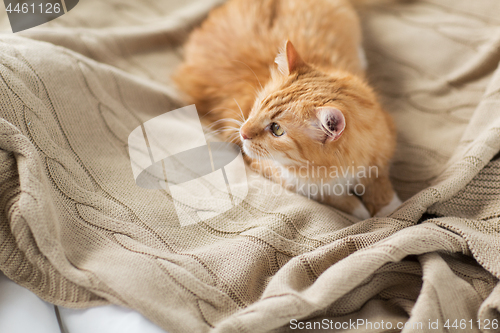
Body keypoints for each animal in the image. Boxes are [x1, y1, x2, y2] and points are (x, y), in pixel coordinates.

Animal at [174, 0, 400, 218]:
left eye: (277, 129)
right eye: (258, 106)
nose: (243, 133)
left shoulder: (380, 149)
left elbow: (379, 184)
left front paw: (389, 210)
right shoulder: (276, 173)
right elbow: (330, 195)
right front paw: (360, 210)